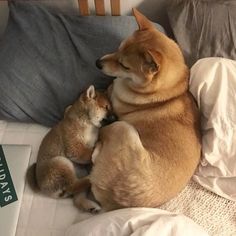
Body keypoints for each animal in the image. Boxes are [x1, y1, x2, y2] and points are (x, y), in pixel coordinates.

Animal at [90, 9, 201, 212]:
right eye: (118, 48)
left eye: (125, 66)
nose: (97, 62)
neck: (166, 92)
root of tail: (113, 203)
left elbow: (111, 91)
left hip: (123, 128)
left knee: (99, 145)